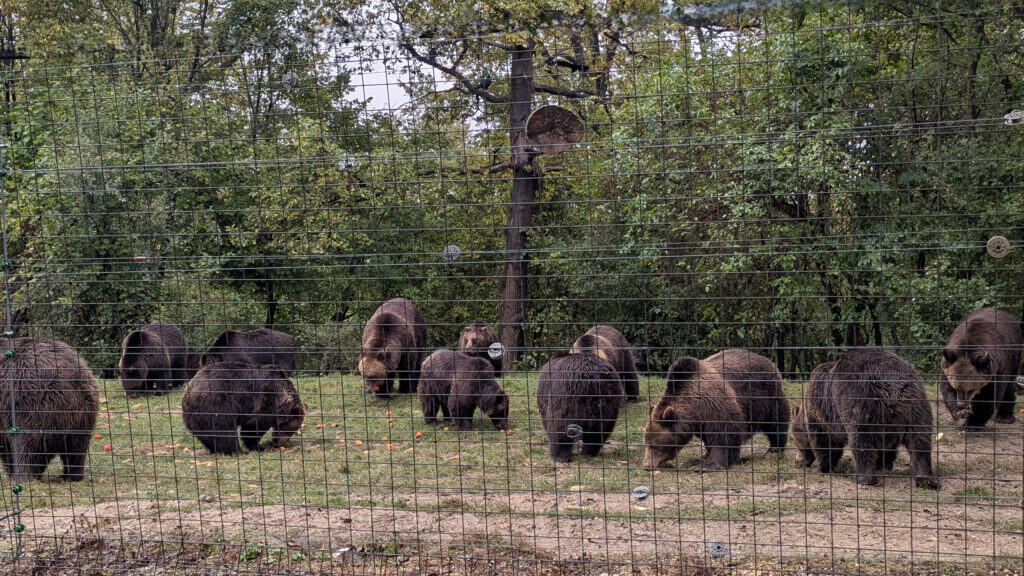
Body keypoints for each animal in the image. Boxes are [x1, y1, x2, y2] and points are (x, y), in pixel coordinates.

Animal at [0, 338, 99, 481]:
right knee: (76, 448)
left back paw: (23, 476)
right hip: (83, 413)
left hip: (32, 402)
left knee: (26, 444)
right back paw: (72, 475)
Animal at [796, 348, 938, 489]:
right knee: (920, 441)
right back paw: (925, 479)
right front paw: (883, 463)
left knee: (861, 440)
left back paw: (863, 477)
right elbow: (888, 448)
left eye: (797, 441)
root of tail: (893, 387)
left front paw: (821, 468)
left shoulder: (821, 409)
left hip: (861, 401)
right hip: (916, 405)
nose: (798, 462)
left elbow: (825, 441)